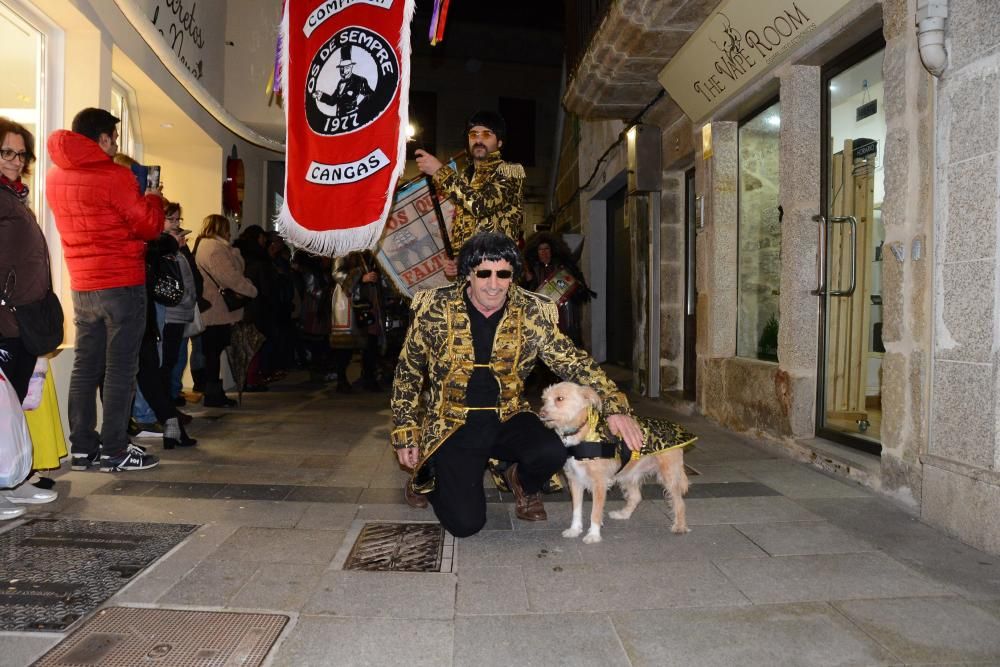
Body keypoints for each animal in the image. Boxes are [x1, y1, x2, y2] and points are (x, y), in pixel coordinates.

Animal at [540, 380, 696, 544]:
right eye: (544, 399)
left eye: (560, 399)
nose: (541, 414)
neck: (581, 432)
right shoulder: (575, 480)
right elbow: (576, 510)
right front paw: (575, 530)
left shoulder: (599, 483)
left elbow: (595, 512)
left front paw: (593, 535)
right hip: (628, 474)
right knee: (636, 497)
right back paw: (623, 514)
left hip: (669, 475)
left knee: (679, 502)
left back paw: (680, 526)